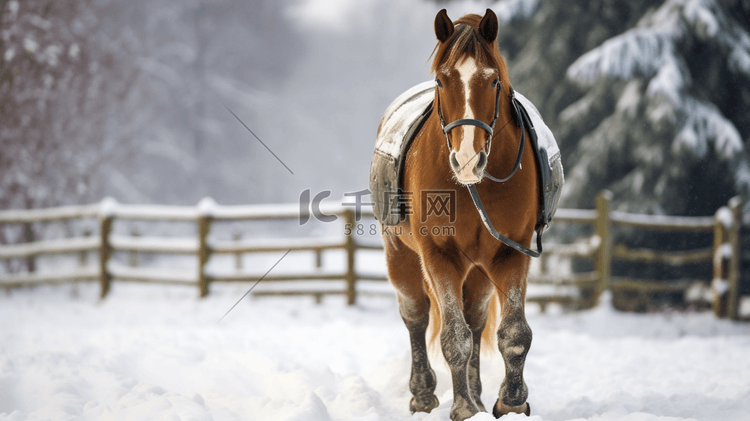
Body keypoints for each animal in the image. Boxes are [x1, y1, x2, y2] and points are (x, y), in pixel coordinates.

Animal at [384, 7, 536, 420]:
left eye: (494, 80)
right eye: (441, 79)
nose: (467, 160)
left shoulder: (511, 253)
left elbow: (514, 334)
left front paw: (510, 401)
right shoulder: (439, 257)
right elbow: (454, 338)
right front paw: (464, 407)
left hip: (480, 272)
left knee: (476, 319)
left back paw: (479, 394)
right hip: (401, 257)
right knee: (416, 316)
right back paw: (424, 394)